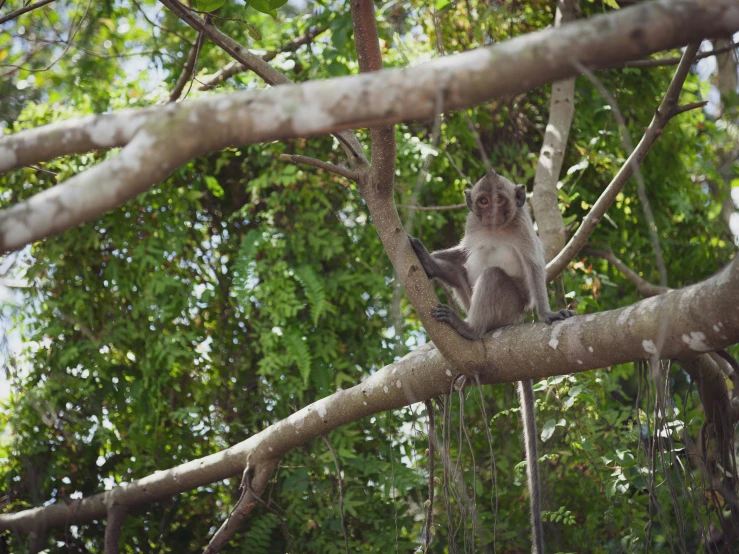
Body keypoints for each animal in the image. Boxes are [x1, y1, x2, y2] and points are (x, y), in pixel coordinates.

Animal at [410, 169, 572, 552]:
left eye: (500, 200)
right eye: (483, 201)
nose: (493, 213)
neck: (497, 230)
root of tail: (516, 320)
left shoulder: (523, 228)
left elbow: (534, 267)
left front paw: (548, 314)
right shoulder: (472, 224)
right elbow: (461, 253)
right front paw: (428, 258)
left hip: (508, 307)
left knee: (494, 276)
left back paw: (469, 329)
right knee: (462, 272)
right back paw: (436, 274)